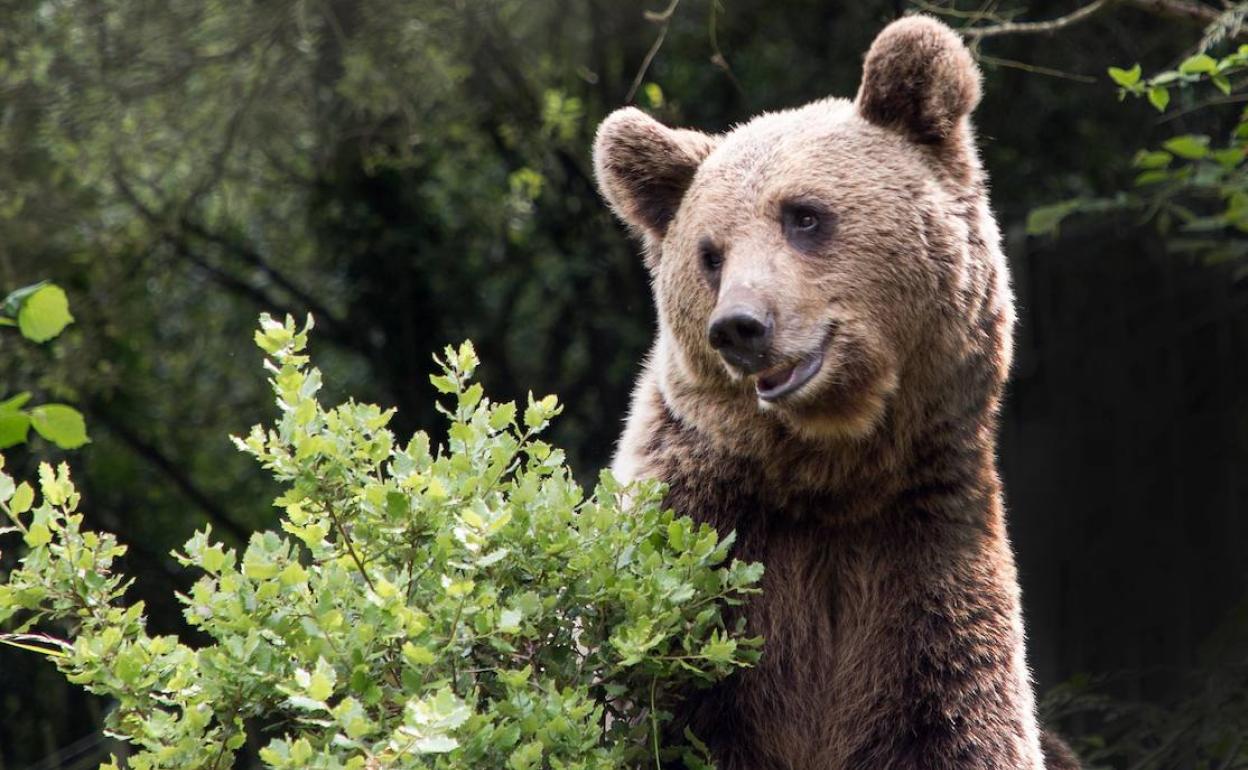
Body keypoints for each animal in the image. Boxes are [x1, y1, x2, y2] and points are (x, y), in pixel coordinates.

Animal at [591, 12, 1073, 768]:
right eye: (710, 254)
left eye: (805, 215)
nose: (740, 326)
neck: (832, 475)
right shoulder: (696, 563)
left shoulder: (924, 567)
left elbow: (959, 723)